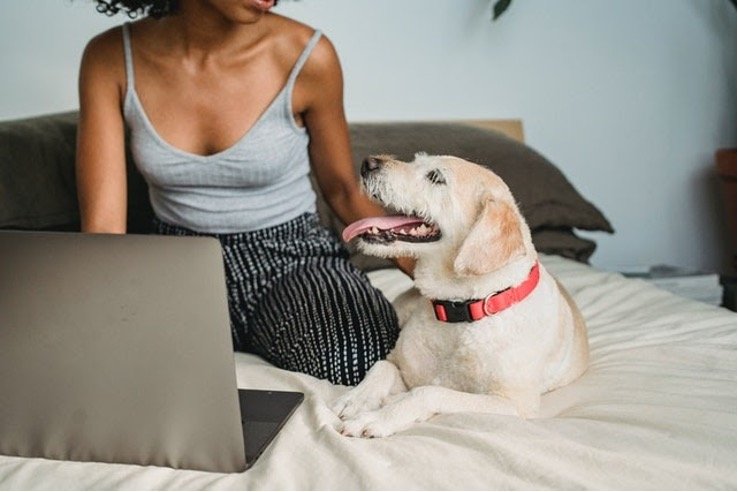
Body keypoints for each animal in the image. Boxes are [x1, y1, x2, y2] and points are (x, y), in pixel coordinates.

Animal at [330, 154, 588, 438]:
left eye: (435, 177)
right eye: (416, 160)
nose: (368, 163)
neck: (461, 310)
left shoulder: (512, 404)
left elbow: (428, 392)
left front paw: (378, 417)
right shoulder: (404, 370)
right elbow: (382, 366)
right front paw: (356, 399)